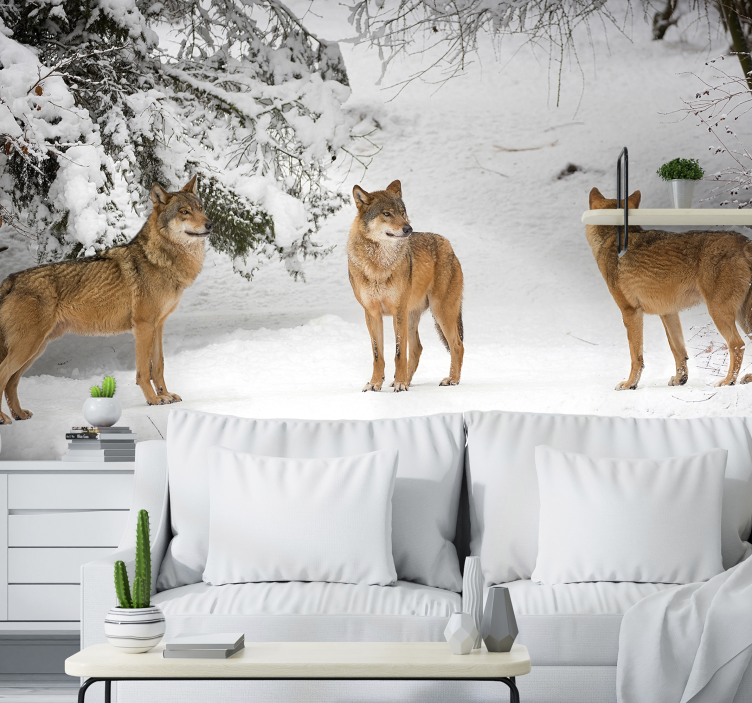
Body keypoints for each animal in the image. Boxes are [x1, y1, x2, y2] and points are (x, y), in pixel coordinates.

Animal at [0, 176, 212, 423]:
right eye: (184, 212)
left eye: (200, 208)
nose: (210, 224)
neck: (160, 259)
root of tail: (10, 280)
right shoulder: (142, 326)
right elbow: (143, 371)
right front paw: (153, 399)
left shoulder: (158, 325)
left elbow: (158, 366)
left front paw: (165, 395)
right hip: (28, 347)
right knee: (4, 376)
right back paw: (4, 418)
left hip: (36, 348)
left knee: (11, 383)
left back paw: (19, 414)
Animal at [347, 180, 464, 392]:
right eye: (387, 213)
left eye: (402, 212)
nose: (408, 228)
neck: (379, 264)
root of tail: (449, 245)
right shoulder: (372, 314)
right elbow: (378, 356)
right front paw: (376, 383)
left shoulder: (398, 311)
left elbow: (399, 353)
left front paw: (400, 384)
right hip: (414, 316)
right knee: (417, 348)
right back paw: (405, 381)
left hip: (441, 312)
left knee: (457, 345)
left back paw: (451, 379)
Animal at [587, 187, 752, 389]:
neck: (609, 239)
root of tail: (745, 242)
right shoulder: (668, 313)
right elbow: (678, 351)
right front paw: (681, 379)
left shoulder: (630, 312)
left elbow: (636, 356)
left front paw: (630, 384)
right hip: (742, 318)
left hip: (720, 313)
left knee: (737, 344)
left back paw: (728, 381)